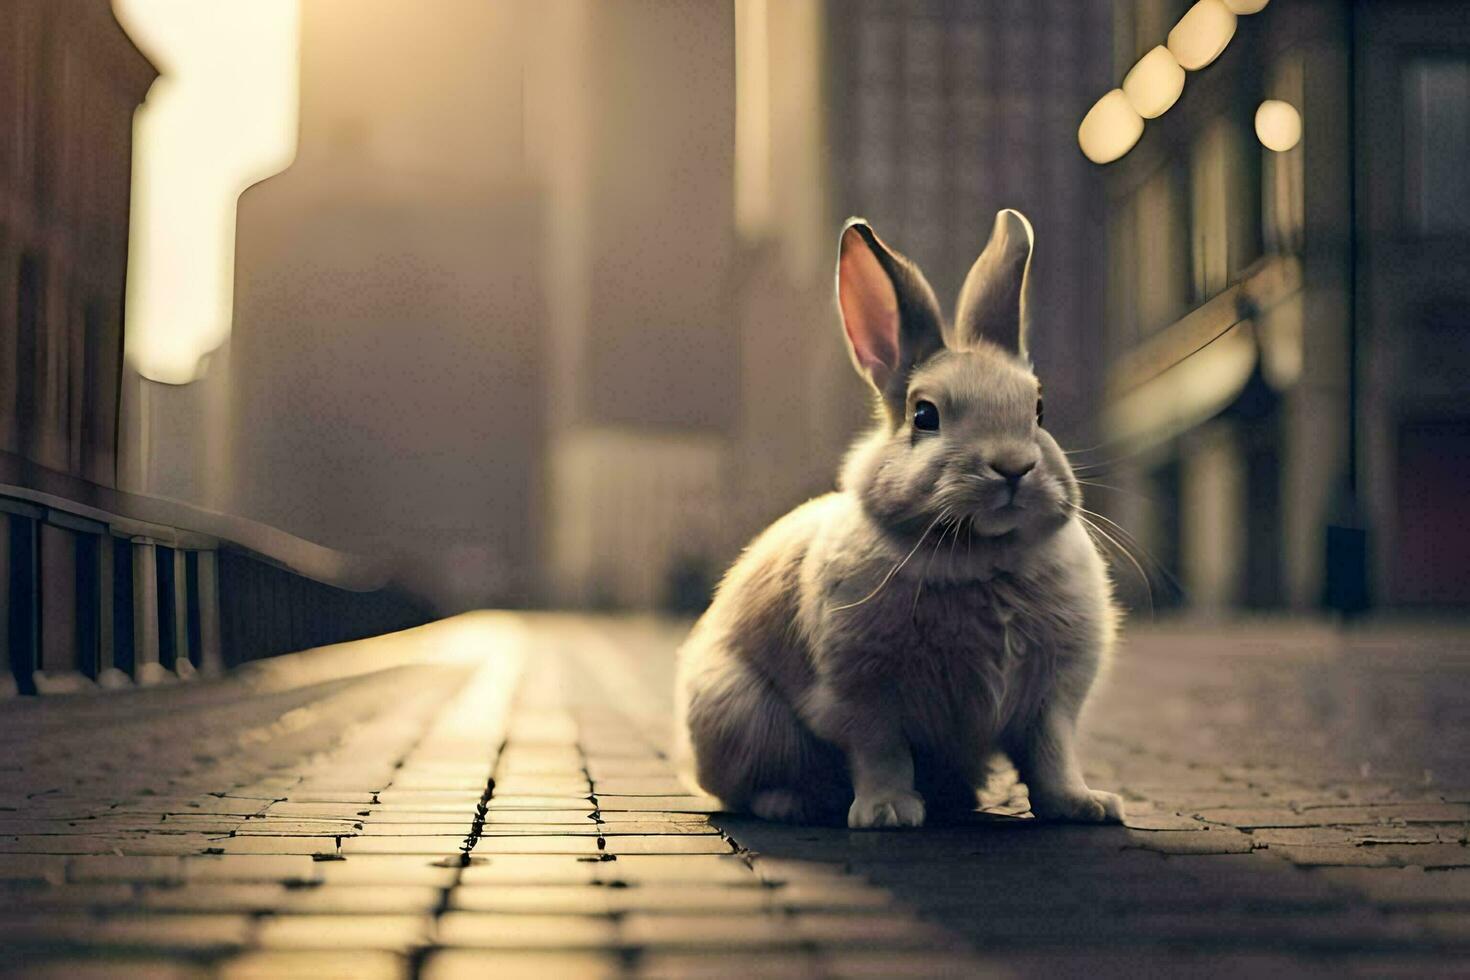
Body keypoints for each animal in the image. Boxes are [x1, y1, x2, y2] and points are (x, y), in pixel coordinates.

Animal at [676, 211, 1123, 834]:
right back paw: (797, 803)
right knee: (749, 787)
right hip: (739, 717)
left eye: (1039, 410)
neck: (982, 558)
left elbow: (1052, 757)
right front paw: (888, 812)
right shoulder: (863, 697)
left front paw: (1086, 806)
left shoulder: (1051, 699)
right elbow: (881, 753)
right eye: (925, 415)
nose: (1013, 467)